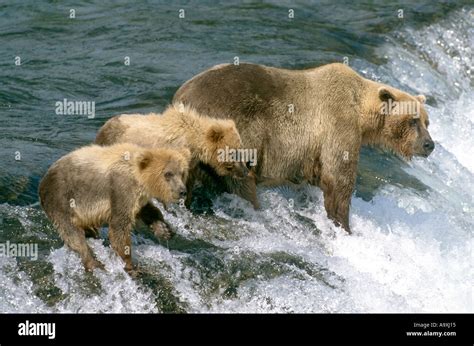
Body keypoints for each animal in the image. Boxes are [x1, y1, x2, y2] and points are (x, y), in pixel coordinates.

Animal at [39, 142, 191, 272]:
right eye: (168, 173)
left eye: (182, 173)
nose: (182, 191)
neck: (139, 179)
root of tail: (43, 181)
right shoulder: (120, 189)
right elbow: (119, 227)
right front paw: (129, 263)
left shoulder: (138, 197)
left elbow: (147, 211)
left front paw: (164, 230)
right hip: (62, 199)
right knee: (72, 232)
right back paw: (93, 262)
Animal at [95, 102, 252, 209]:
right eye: (234, 152)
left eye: (241, 149)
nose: (245, 171)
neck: (192, 142)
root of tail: (105, 124)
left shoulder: (191, 163)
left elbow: (188, 182)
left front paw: (187, 203)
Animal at [172, 63, 436, 234]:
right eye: (413, 120)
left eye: (427, 122)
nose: (429, 145)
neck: (362, 112)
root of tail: (181, 98)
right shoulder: (338, 123)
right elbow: (338, 179)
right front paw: (343, 224)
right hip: (231, 136)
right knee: (241, 181)